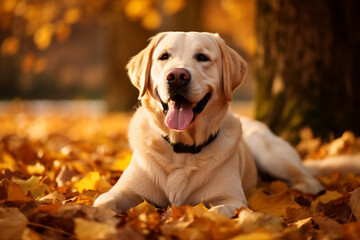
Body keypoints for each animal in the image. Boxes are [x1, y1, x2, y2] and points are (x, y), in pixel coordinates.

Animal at [93, 31, 324, 218]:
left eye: (202, 57)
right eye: (164, 56)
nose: (177, 76)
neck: (183, 147)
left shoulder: (232, 199)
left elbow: (215, 213)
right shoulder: (122, 190)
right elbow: (102, 202)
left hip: (269, 153)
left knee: (307, 177)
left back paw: (305, 188)